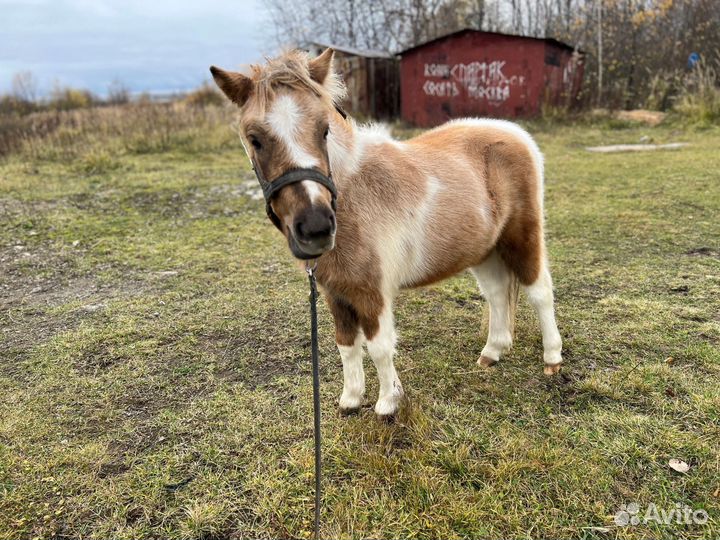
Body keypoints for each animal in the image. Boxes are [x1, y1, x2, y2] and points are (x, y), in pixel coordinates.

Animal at [211, 48, 564, 418]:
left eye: (324, 130)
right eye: (255, 139)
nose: (316, 227)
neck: (352, 198)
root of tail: (516, 134)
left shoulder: (372, 293)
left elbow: (379, 346)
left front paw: (387, 404)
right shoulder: (335, 293)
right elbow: (347, 346)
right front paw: (351, 400)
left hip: (522, 238)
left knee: (540, 292)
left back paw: (552, 359)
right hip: (484, 251)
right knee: (497, 294)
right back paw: (491, 353)